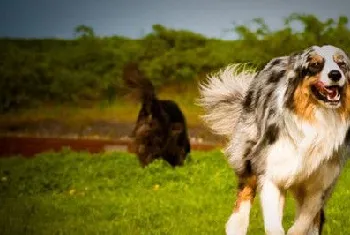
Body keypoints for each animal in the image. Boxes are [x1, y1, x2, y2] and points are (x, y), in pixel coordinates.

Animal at [198, 45, 350, 234]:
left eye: (342, 64)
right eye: (315, 65)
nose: (335, 74)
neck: (317, 118)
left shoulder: (321, 184)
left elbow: (304, 221)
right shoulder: (271, 170)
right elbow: (273, 225)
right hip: (249, 153)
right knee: (244, 192)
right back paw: (237, 225)